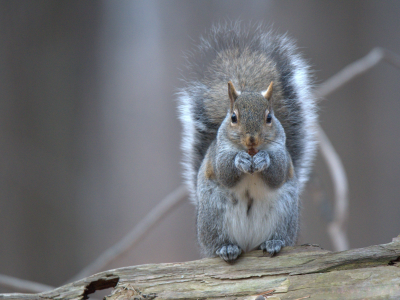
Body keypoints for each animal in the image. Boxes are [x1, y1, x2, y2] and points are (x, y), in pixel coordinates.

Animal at [178, 23, 318, 262]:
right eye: (233, 117)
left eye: (269, 118)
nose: (252, 140)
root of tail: (248, 245)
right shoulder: (218, 154)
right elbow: (225, 171)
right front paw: (239, 161)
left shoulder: (282, 154)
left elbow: (277, 173)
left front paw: (263, 159)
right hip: (213, 216)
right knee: (219, 242)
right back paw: (226, 248)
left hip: (284, 214)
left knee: (277, 236)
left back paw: (273, 243)